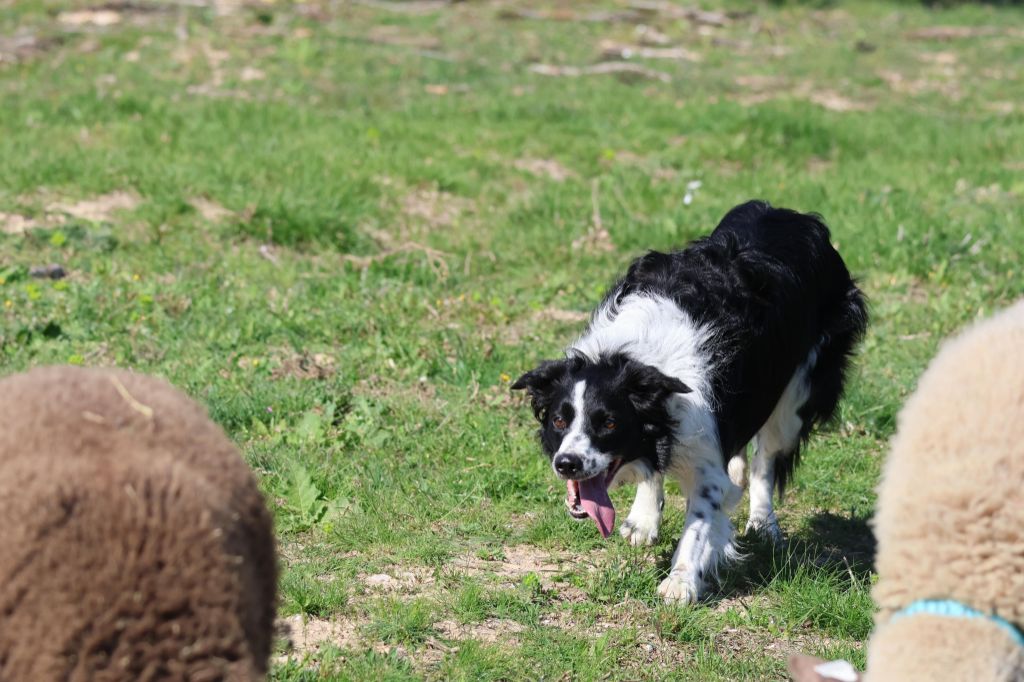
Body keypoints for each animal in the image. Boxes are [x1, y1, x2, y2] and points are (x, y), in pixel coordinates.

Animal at [509, 200, 864, 602]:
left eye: (609, 423)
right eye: (559, 420)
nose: (567, 464)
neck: (637, 355)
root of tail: (797, 217)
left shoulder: (705, 450)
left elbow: (701, 519)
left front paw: (681, 581)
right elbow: (657, 471)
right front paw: (644, 519)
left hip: (798, 391)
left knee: (767, 457)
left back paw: (763, 522)